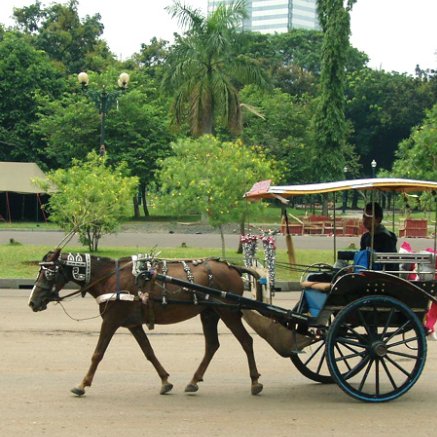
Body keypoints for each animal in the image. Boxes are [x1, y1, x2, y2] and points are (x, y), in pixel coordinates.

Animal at [29, 249, 262, 396]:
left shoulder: (111, 320)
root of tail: (234, 268)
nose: (33, 302)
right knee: (212, 345)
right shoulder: (133, 324)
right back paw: (194, 381)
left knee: (246, 341)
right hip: (209, 313)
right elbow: (148, 351)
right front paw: (165, 381)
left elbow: (98, 353)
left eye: (48, 274)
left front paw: (82, 384)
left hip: (228, 311)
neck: (110, 277)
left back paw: (255, 381)